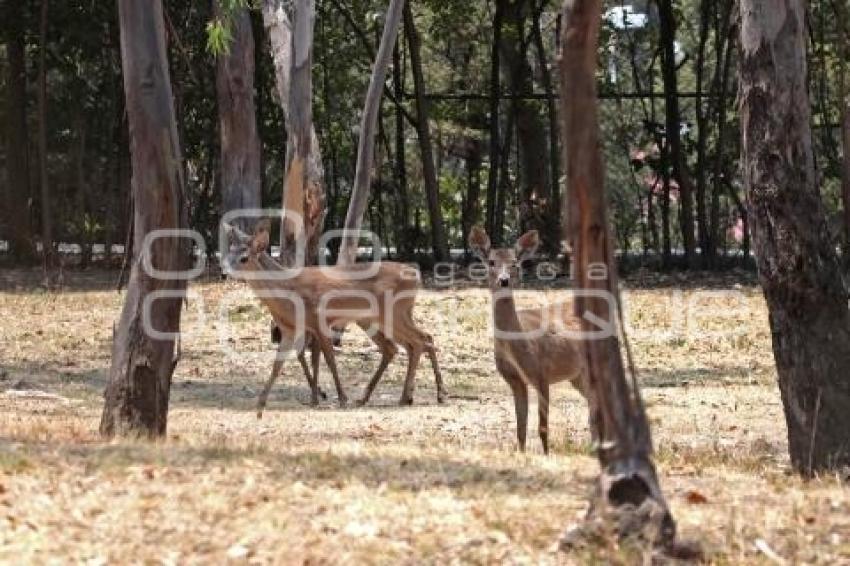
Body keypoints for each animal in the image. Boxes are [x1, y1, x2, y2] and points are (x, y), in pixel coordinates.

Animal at [220, 222, 444, 418]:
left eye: (244, 258)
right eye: (228, 251)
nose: (223, 272)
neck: (288, 292)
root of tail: (416, 274)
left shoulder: (319, 321)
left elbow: (329, 360)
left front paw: (341, 398)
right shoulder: (290, 329)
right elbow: (278, 365)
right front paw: (261, 403)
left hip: (393, 312)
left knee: (420, 339)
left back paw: (419, 395)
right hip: (375, 319)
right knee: (406, 344)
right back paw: (385, 397)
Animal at [468, 226, 588, 458]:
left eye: (515, 262)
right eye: (491, 262)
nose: (504, 280)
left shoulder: (542, 373)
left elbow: (542, 427)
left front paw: (546, 456)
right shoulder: (514, 380)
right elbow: (520, 428)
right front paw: (521, 454)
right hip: (576, 376)